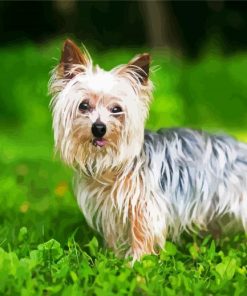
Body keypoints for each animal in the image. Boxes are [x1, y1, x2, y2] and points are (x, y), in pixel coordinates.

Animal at [49, 39, 247, 262]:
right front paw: (115, 259)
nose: (99, 128)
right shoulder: (111, 210)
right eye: (83, 106)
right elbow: (115, 236)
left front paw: (136, 262)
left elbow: (141, 235)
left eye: (116, 109)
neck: (113, 166)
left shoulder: (144, 207)